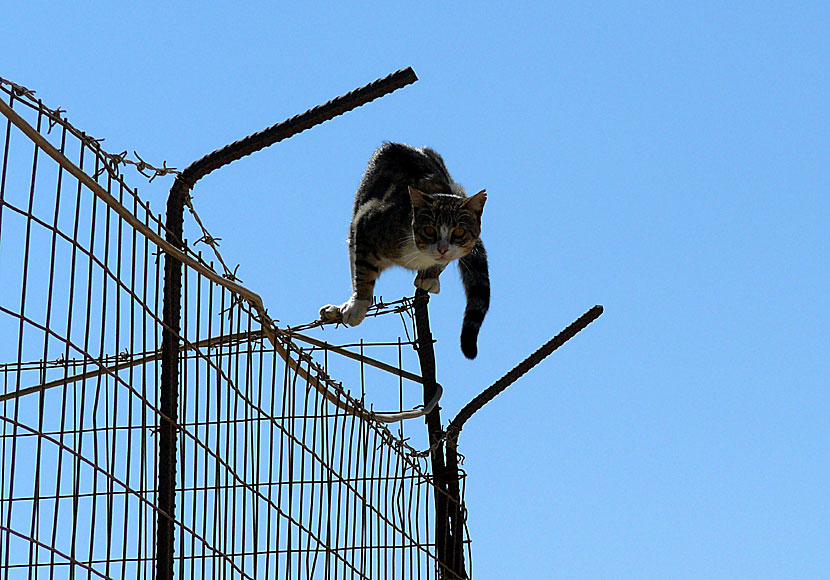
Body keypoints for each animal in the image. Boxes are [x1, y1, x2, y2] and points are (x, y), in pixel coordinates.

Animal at [316, 140, 488, 358]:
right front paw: (358, 304)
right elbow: (363, 271)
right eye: (429, 229)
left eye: (458, 232)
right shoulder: (366, 223)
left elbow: (443, 263)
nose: (442, 248)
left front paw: (429, 277)